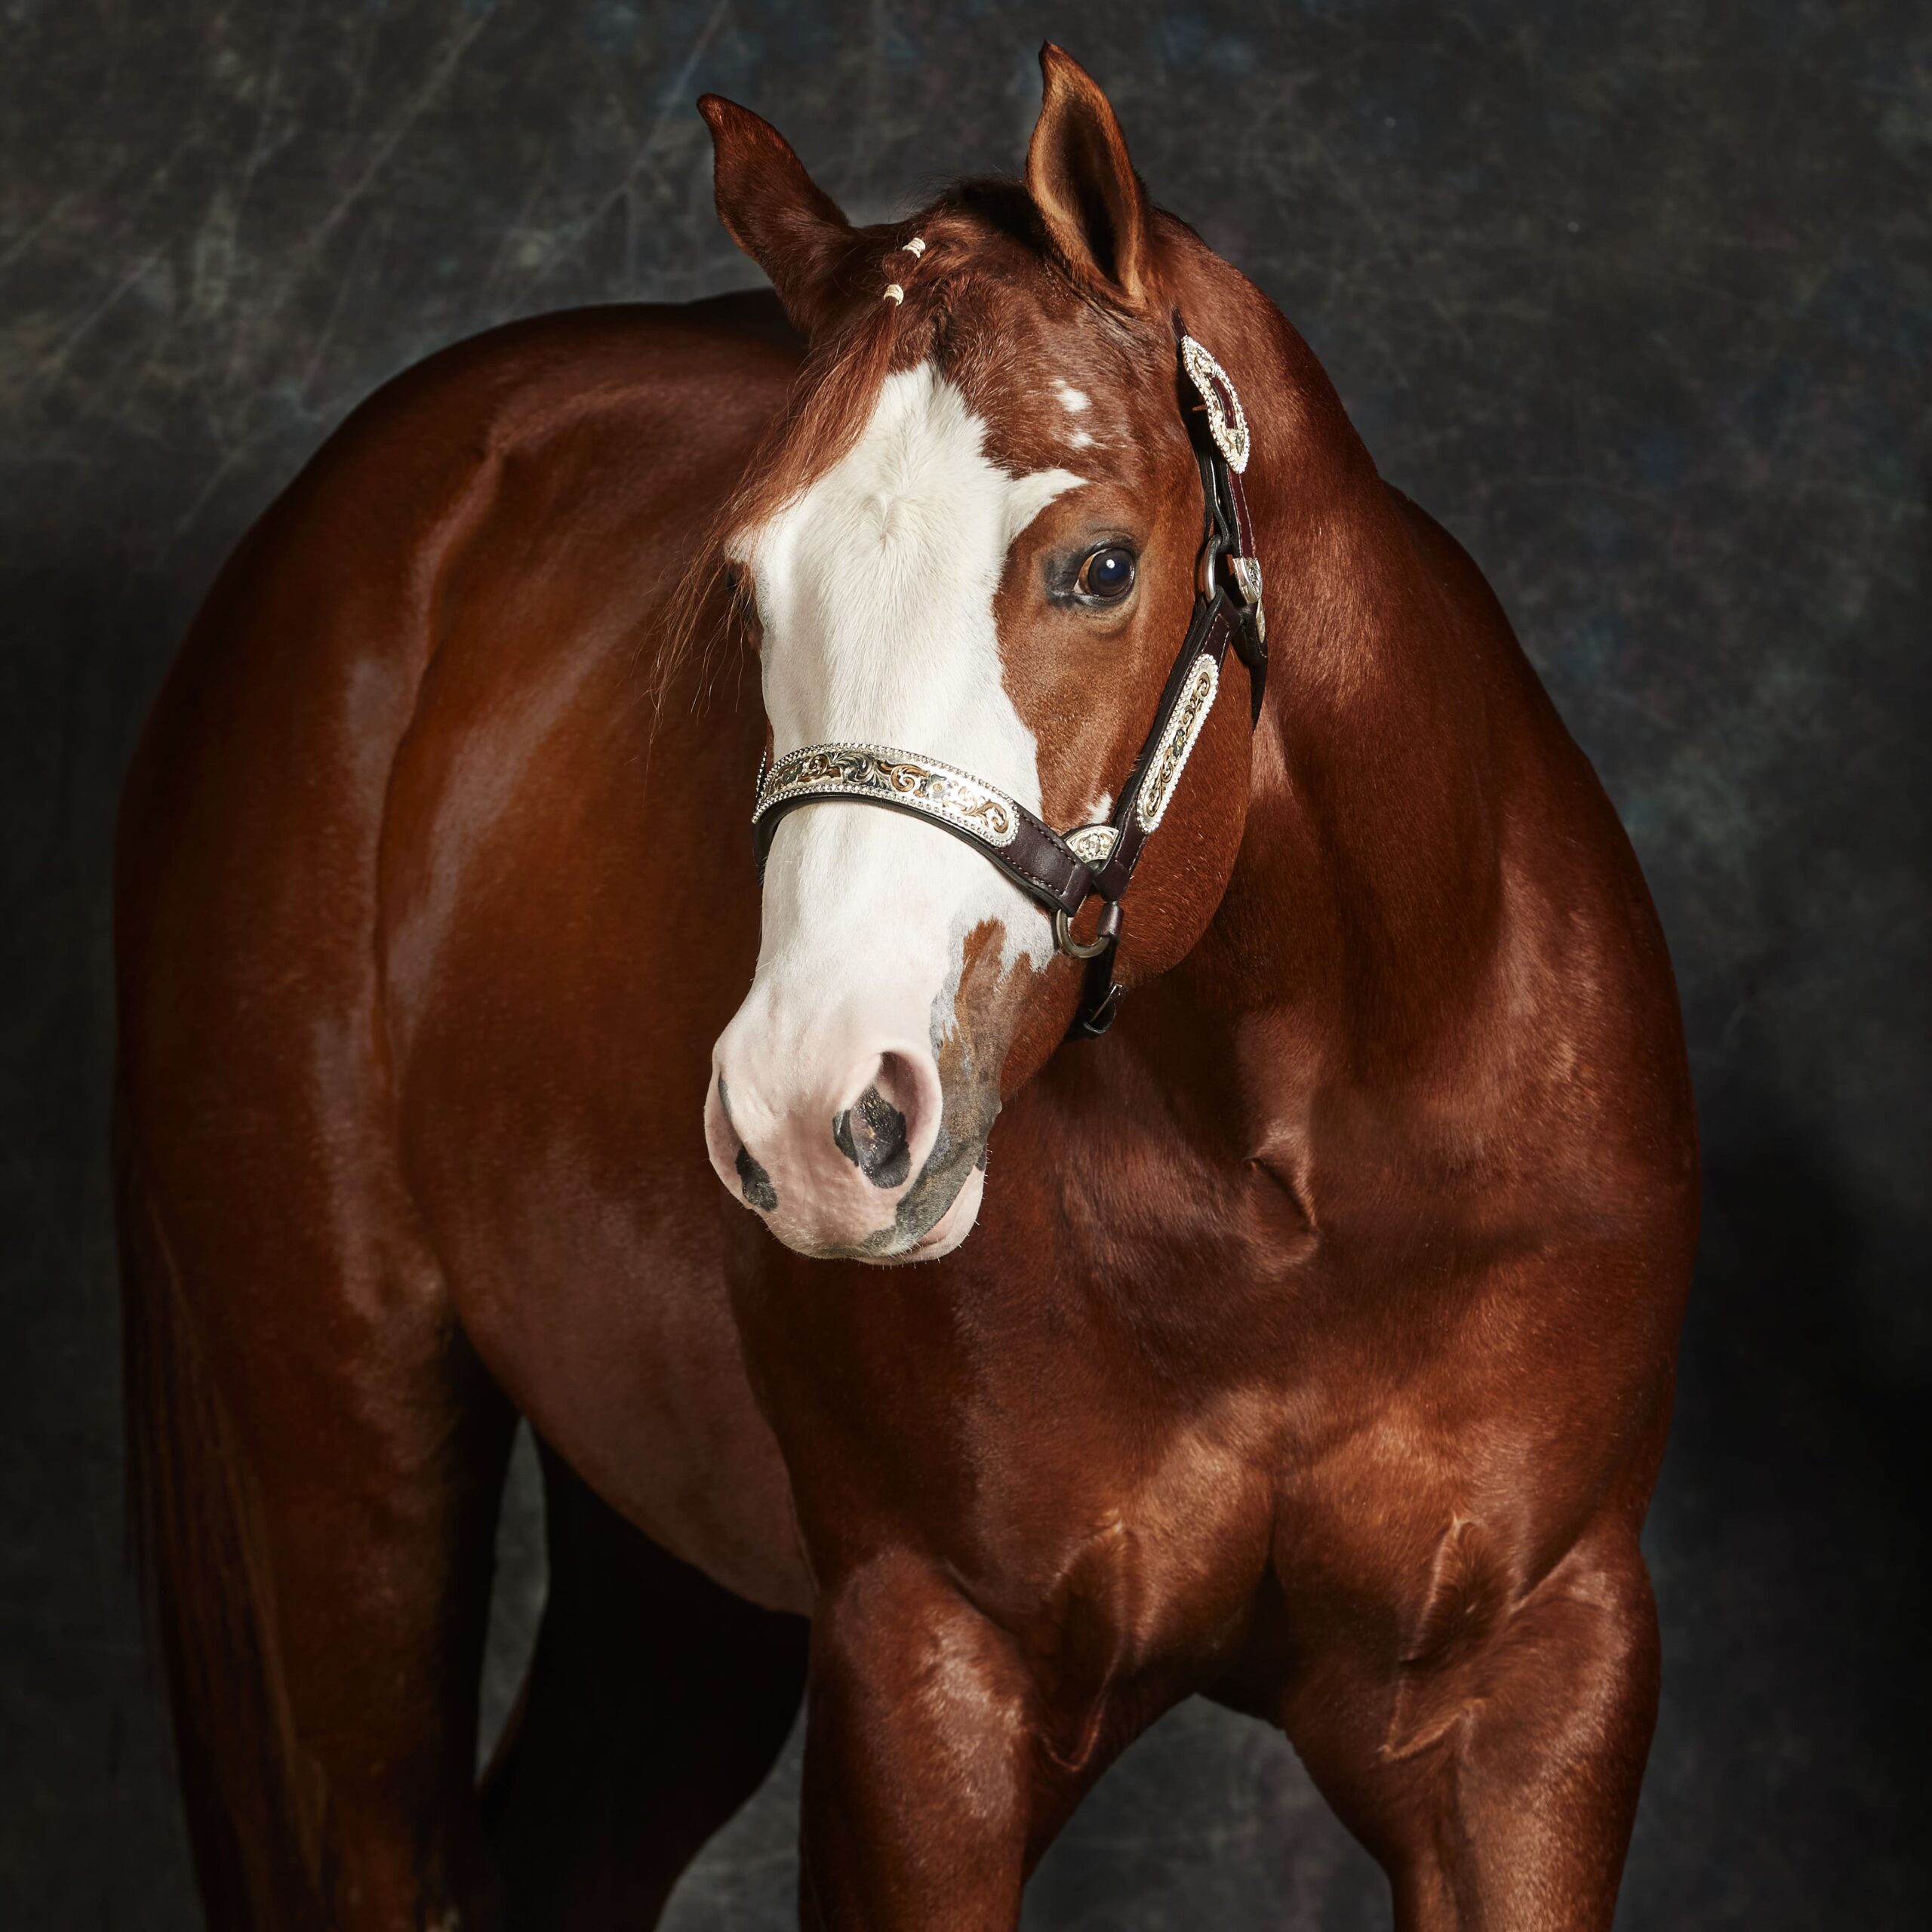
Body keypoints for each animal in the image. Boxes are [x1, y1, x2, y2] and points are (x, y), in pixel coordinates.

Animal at [116, 44, 1697, 1932]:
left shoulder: (1530, 1699)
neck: (1292, 1173)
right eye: (743, 587)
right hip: (350, 1460)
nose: (814, 1115)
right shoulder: (925, 1679)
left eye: (1099, 565)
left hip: (670, 1582)